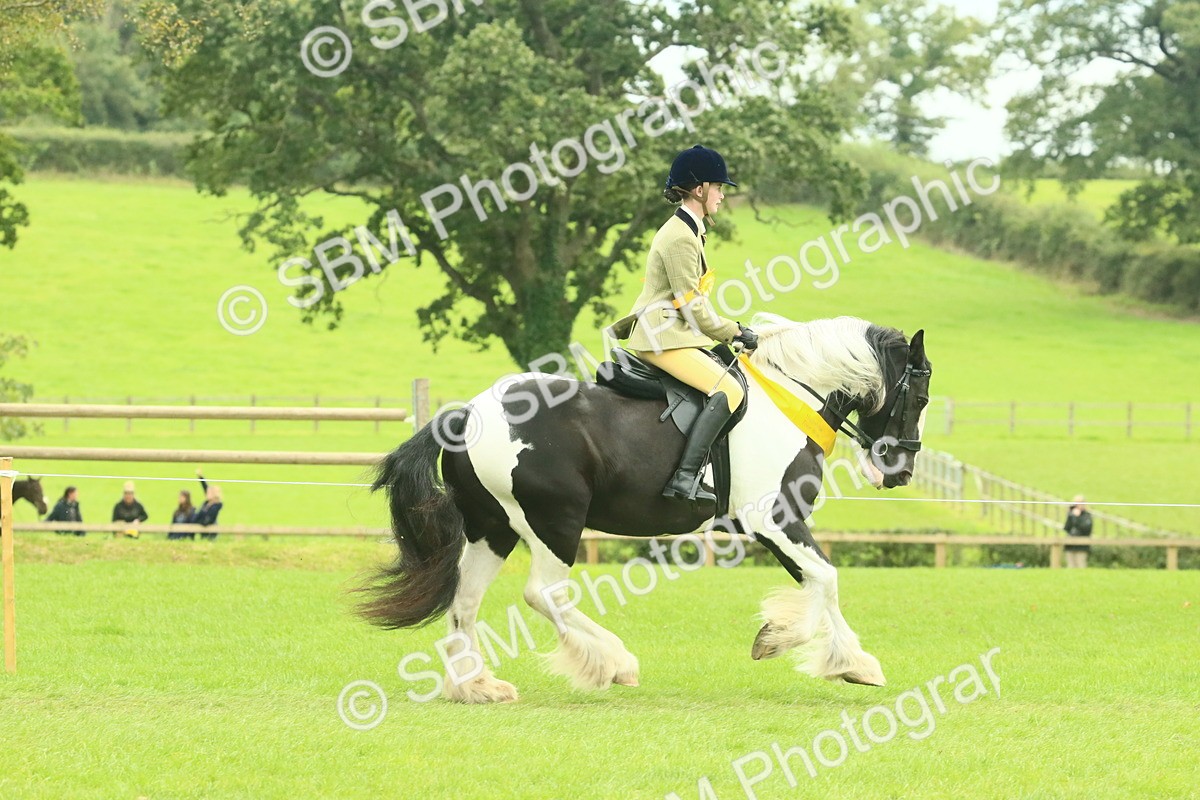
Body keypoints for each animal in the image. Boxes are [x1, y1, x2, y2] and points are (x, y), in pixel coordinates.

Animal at [360, 314, 932, 703]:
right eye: (921, 397)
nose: (900, 472)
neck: (791, 396)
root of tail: (466, 415)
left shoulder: (779, 526)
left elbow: (820, 581)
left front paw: (852, 664)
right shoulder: (775, 519)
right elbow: (825, 579)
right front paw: (782, 640)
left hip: (492, 528)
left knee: (466, 601)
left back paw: (477, 686)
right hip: (555, 521)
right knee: (544, 594)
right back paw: (614, 663)